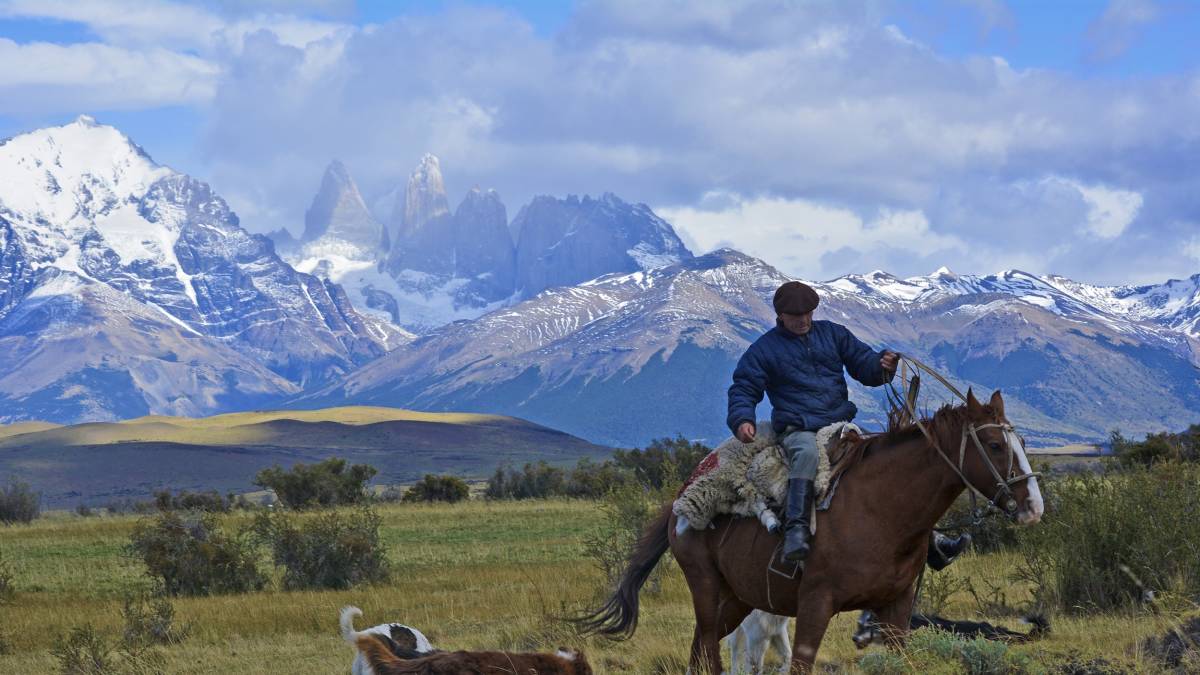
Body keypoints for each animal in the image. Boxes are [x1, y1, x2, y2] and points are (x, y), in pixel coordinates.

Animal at [578, 389, 1041, 672]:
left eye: (1021, 444)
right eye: (995, 446)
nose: (1033, 506)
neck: (881, 511)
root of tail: (679, 498)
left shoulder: (896, 608)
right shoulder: (815, 604)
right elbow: (800, 663)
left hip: (738, 599)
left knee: (701, 651)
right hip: (706, 588)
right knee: (708, 650)